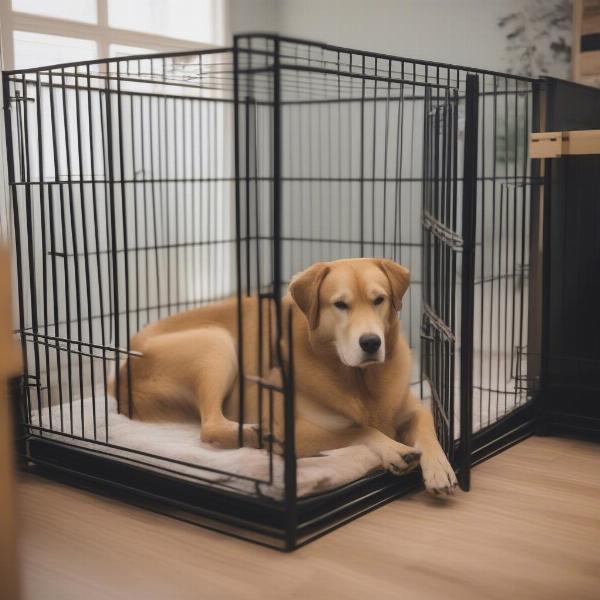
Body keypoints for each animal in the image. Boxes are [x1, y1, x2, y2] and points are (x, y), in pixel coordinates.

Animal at [110, 255, 458, 494]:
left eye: (379, 300)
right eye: (340, 305)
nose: (371, 342)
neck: (358, 380)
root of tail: (122, 369)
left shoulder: (412, 408)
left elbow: (427, 427)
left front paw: (440, 468)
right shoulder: (298, 427)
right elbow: (359, 431)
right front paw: (395, 449)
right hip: (216, 344)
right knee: (209, 426)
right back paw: (258, 435)